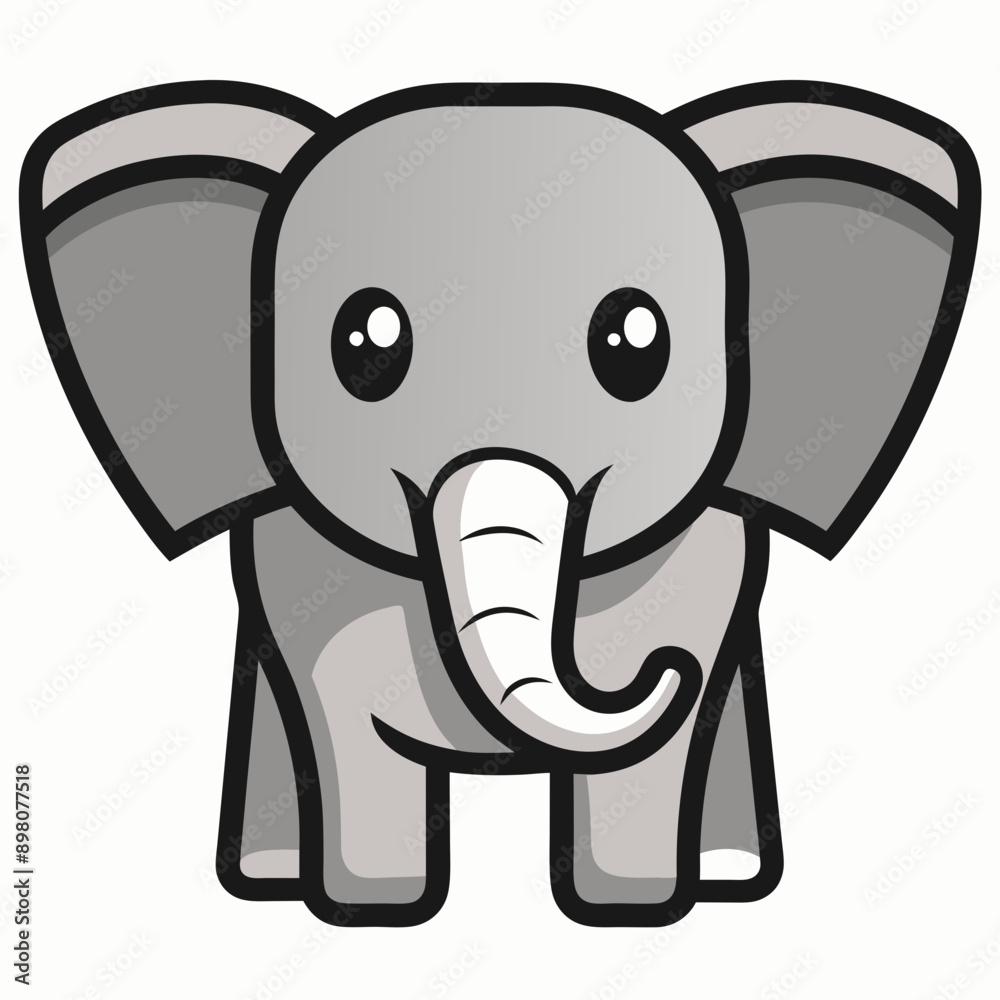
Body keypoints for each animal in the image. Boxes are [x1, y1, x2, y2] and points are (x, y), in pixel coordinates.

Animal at [21, 79, 979, 927]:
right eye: (365, 344)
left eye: (634, 344)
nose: (660, 670)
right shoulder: (301, 577)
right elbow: (343, 726)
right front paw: (375, 910)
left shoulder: (705, 564)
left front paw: (629, 912)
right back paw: (272, 876)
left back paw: (725, 872)